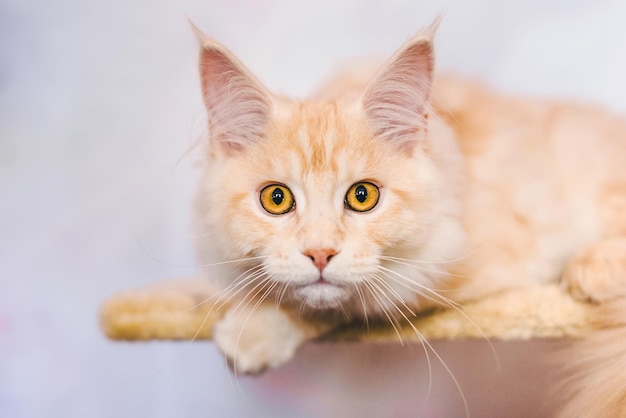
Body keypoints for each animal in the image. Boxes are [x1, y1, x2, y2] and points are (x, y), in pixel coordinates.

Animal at [193, 20, 624, 418]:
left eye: (362, 196)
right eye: (277, 199)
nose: (319, 254)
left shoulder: (455, 264)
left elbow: (342, 307)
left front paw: (256, 330)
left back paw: (595, 267)